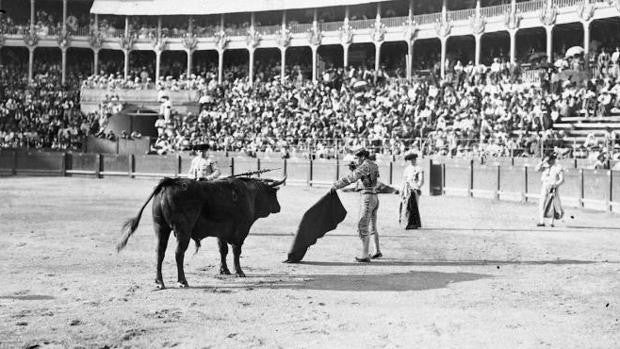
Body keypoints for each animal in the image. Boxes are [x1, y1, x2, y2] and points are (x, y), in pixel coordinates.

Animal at [115, 177, 284, 288]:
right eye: (273, 194)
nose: (279, 207)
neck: (250, 195)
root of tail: (169, 183)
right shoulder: (241, 231)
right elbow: (236, 251)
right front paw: (239, 272)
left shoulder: (221, 233)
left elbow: (223, 250)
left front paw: (224, 270)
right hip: (183, 231)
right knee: (179, 253)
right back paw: (182, 281)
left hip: (160, 227)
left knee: (159, 252)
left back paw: (159, 282)